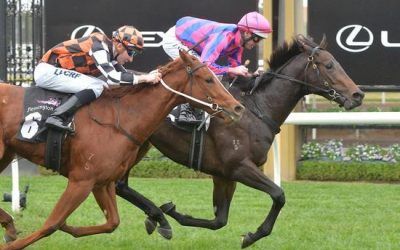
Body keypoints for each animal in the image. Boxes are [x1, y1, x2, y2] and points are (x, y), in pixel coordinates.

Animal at [0, 49, 244, 249]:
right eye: (208, 79)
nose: (238, 108)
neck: (122, 119)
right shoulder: (81, 180)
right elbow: (51, 224)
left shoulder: (102, 182)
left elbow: (112, 222)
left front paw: (69, 229)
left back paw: (9, 224)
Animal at [116, 35, 366, 248]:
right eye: (329, 65)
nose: (358, 95)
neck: (256, 111)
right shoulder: (239, 166)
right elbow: (279, 195)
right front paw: (252, 236)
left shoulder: (224, 174)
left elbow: (220, 220)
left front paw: (173, 212)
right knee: (119, 185)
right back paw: (157, 217)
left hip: (139, 144)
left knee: (122, 186)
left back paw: (155, 217)